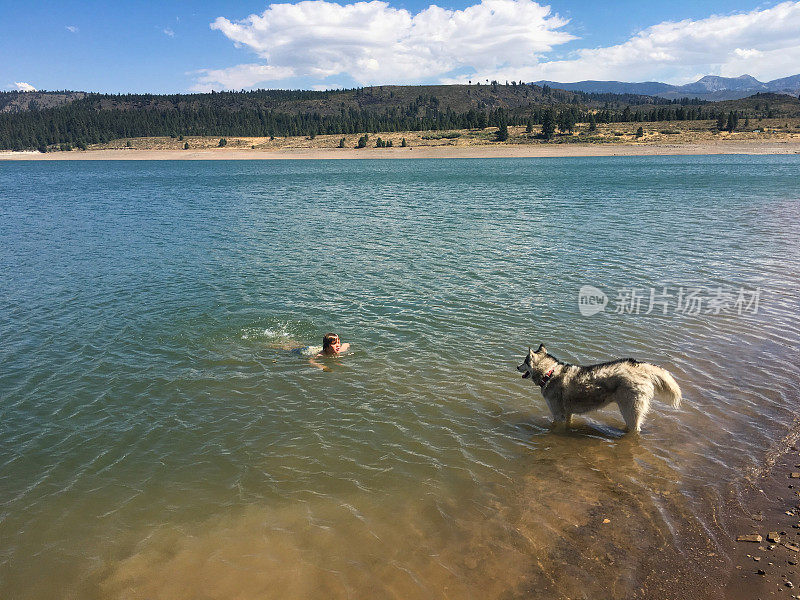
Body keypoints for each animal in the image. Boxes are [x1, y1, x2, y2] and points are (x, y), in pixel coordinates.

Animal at [520, 344, 680, 434]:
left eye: (524, 362)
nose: (517, 366)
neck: (550, 373)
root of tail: (638, 366)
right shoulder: (568, 413)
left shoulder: (558, 415)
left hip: (630, 410)